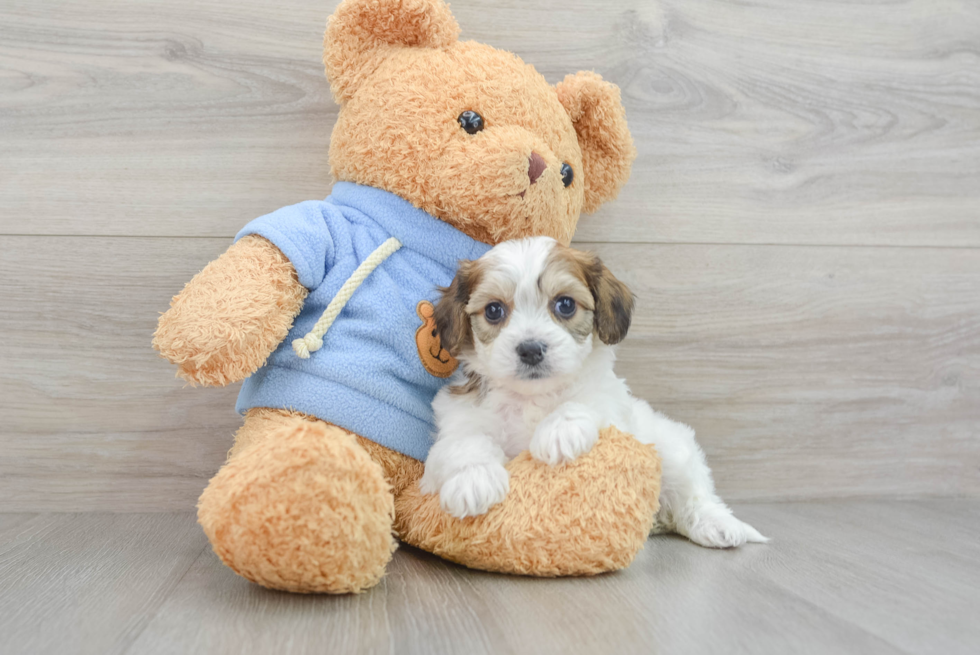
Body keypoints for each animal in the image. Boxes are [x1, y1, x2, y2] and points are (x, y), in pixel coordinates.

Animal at [420, 238, 764, 552]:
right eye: (493, 310)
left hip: (672, 449)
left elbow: (589, 401)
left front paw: (559, 431)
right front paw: (473, 480)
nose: (530, 349)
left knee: (695, 493)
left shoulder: (613, 409)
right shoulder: (456, 420)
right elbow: (463, 443)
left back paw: (719, 525)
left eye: (565, 305)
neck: (531, 398)